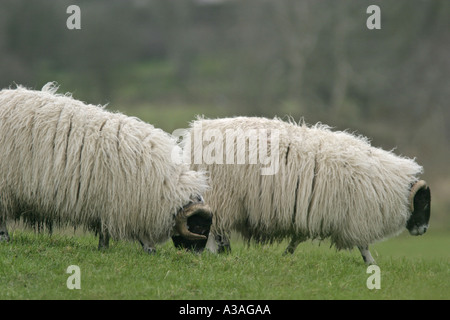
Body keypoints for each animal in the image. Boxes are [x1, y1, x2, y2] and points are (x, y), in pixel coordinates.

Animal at [0, 84, 214, 254]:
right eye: (199, 227)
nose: (197, 255)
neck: (164, 185)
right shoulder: (121, 202)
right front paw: (148, 248)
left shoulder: (113, 202)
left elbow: (106, 230)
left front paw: (106, 247)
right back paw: (5, 238)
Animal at [178, 116, 430, 264]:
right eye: (424, 202)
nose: (424, 230)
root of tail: (197, 133)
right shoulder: (355, 217)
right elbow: (363, 245)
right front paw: (371, 264)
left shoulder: (312, 212)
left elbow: (298, 238)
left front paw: (287, 254)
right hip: (221, 195)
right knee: (213, 230)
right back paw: (212, 254)